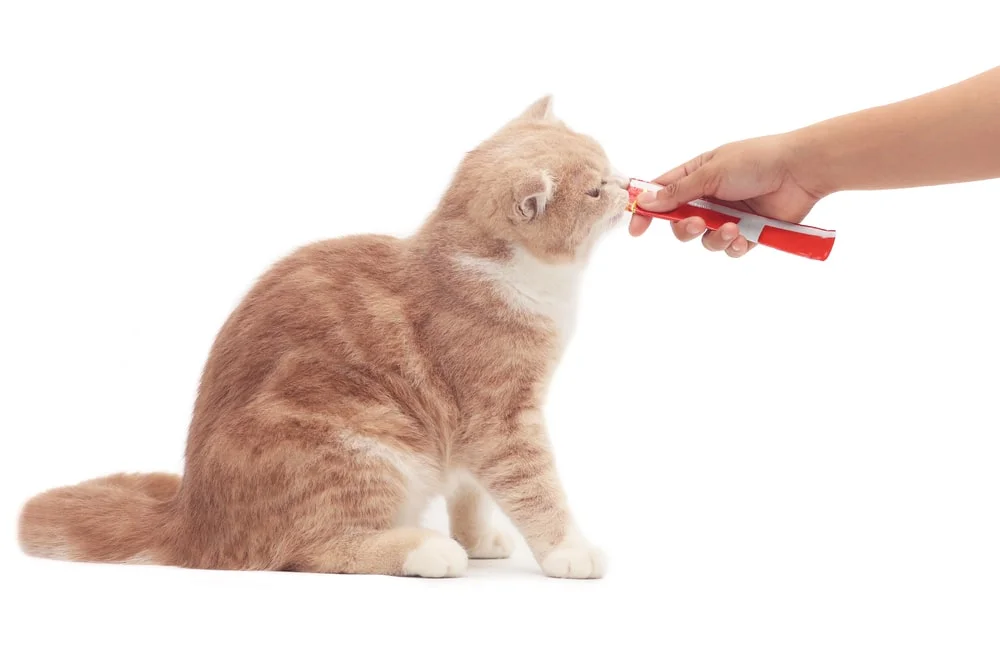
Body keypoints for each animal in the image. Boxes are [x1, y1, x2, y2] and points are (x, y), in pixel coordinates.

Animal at [19, 95, 628, 580]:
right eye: (595, 189)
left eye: (607, 164)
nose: (625, 185)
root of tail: (190, 518)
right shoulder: (500, 420)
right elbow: (536, 491)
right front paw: (569, 552)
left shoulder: (472, 435)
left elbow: (470, 494)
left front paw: (479, 540)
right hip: (364, 450)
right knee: (313, 550)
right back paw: (427, 551)